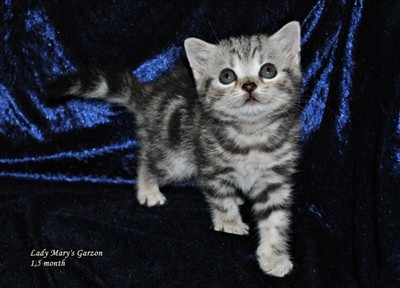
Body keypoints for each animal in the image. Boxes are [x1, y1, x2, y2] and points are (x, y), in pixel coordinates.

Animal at [47, 20, 302, 276]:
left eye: (268, 71)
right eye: (227, 76)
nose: (249, 85)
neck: (252, 135)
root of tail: (149, 96)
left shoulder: (275, 178)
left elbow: (275, 219)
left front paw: (274, 256)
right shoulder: (211, 167)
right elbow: (220, 198)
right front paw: (229, 223)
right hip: (176, 157)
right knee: (148, 160)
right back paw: (148, 190)